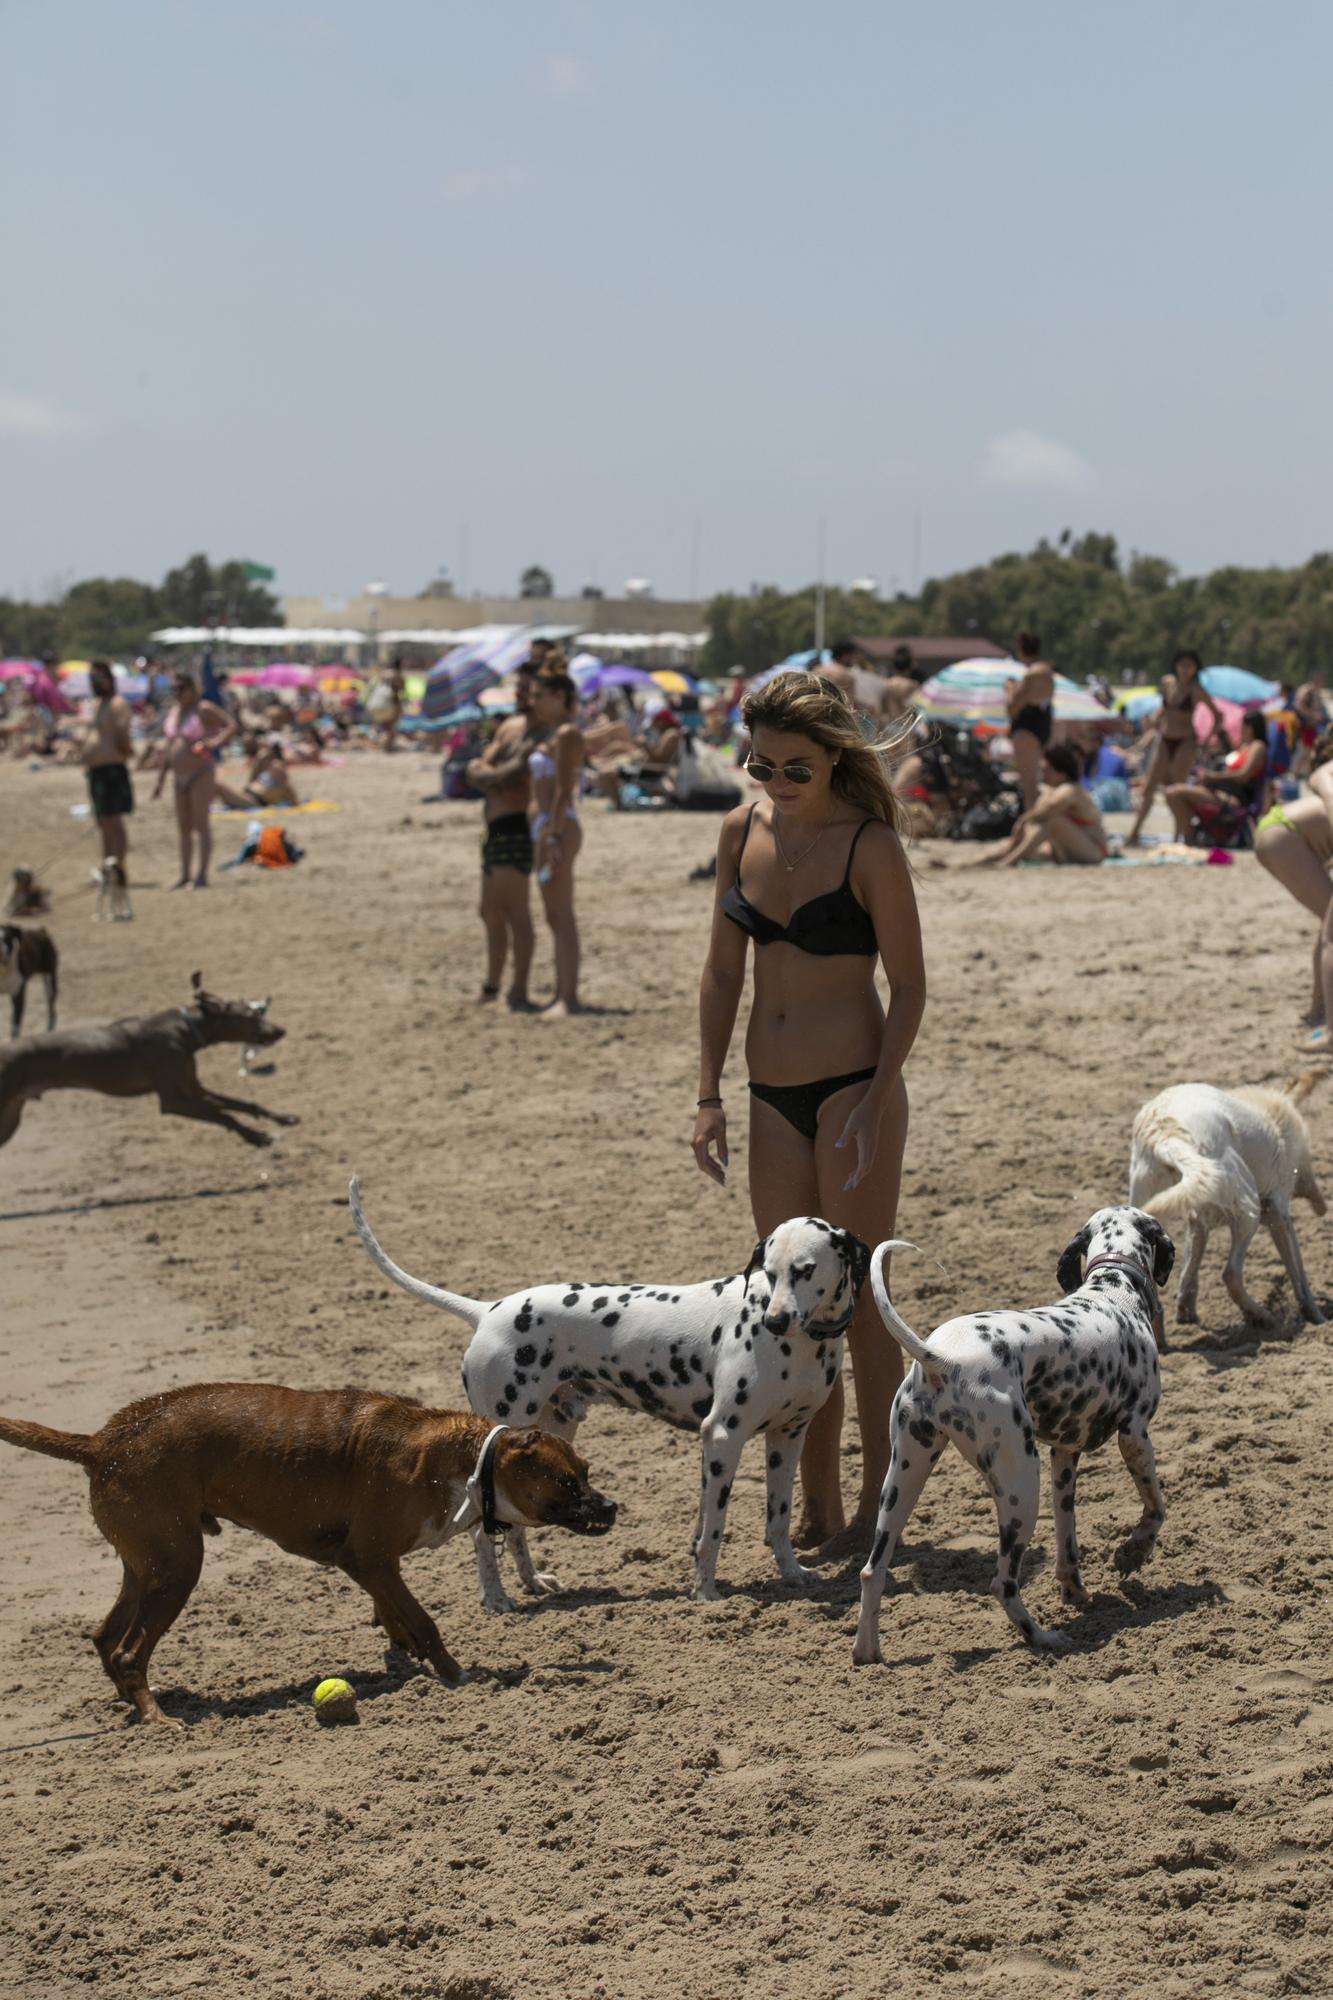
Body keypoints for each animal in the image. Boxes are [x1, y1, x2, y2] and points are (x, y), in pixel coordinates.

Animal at [0, 1384, 612, 1728]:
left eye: (587, 1472)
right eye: (566, 1481)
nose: (611, 1507)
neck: (465, 1461)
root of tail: (101, 1442)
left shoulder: (371, 1566)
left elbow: (395, 1616)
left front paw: (405, 1656)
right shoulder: (368, 1559)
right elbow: (423, 1620)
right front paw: (454, 1674)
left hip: (148, 1566)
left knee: (107, 1639)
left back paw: (131, 1702)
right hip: (177, 1569)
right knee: (129, 1650)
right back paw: (154, 1716)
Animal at [348, 1176, 868, 1616]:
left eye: (804, 1270)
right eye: (770, 1271)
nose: (776, 1320)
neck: (800, 1344)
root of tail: (488, 1310)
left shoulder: (787, 1437)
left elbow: (777, 1519)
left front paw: (793, 1572)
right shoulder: (723, 1437)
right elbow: (712, 1531)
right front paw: (705, 1593)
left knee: (513, 1528)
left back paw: (533, 1582)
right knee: (480, 1533)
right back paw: (495, 1599)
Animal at [852, 1208, 1176, 1664]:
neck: (1113, 1291)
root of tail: (941, 1359)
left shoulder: (1064, 1457)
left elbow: (1067, 1541)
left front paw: (1075, 1591)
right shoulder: (1135, 1435)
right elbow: (1156, 1508)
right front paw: (1133, 1552)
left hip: (903, 1482)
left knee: (872, 1570)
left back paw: (868, 1654)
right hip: (1022, 1487)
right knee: (1002, 1583)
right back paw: (1043, 1638)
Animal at [1120, 1080, 1320, 1328]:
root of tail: (1165, 1135)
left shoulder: (1199, 1222)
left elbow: (1189, 1272)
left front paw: (1186, 1312)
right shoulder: (1278, 1212)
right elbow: (1297, 1270)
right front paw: (1315, 1316)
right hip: (1249, 1210)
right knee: (1231, 1274)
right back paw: (1264, 1317)